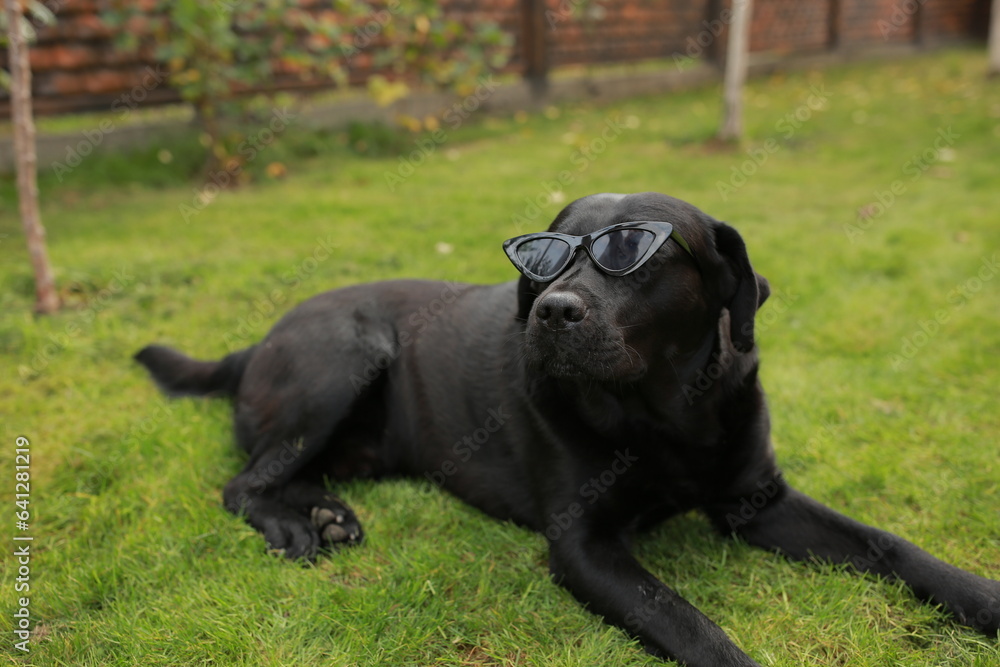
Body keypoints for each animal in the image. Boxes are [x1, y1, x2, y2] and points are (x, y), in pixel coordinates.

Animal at [137, 190, 996, 664]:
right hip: (344, 354)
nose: (552, 310)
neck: (665, 413)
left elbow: (892, 545)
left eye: (635, 252)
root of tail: (257, 341)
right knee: (242, 480)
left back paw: (322, 511)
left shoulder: (761, 501)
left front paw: (983, 598)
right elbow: (690, 624)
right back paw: (295, 523)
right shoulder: (584, 546)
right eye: (542, 260)